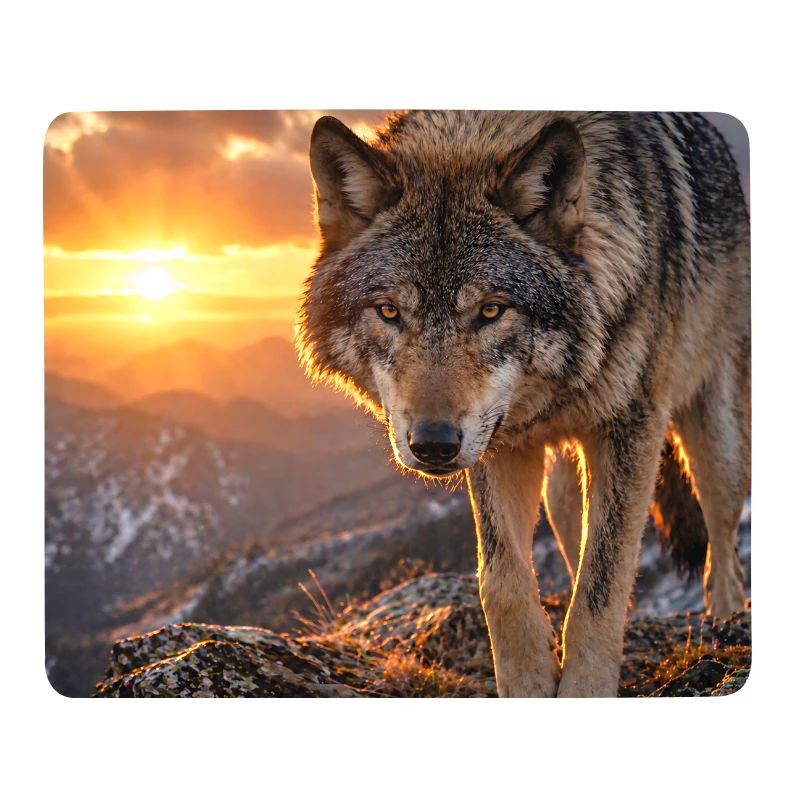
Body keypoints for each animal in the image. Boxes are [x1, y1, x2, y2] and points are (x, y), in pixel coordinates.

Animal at [296, 111, 750, 697]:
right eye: (389, 311)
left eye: (491, 310)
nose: (433, 445)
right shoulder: (497, 444)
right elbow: (503, 583)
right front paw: (531, 683)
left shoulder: (631, 429)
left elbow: (601, 588)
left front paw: (582, 690)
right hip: (562, 490)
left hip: (715, 444)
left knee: (723, 540)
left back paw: (724, 617)